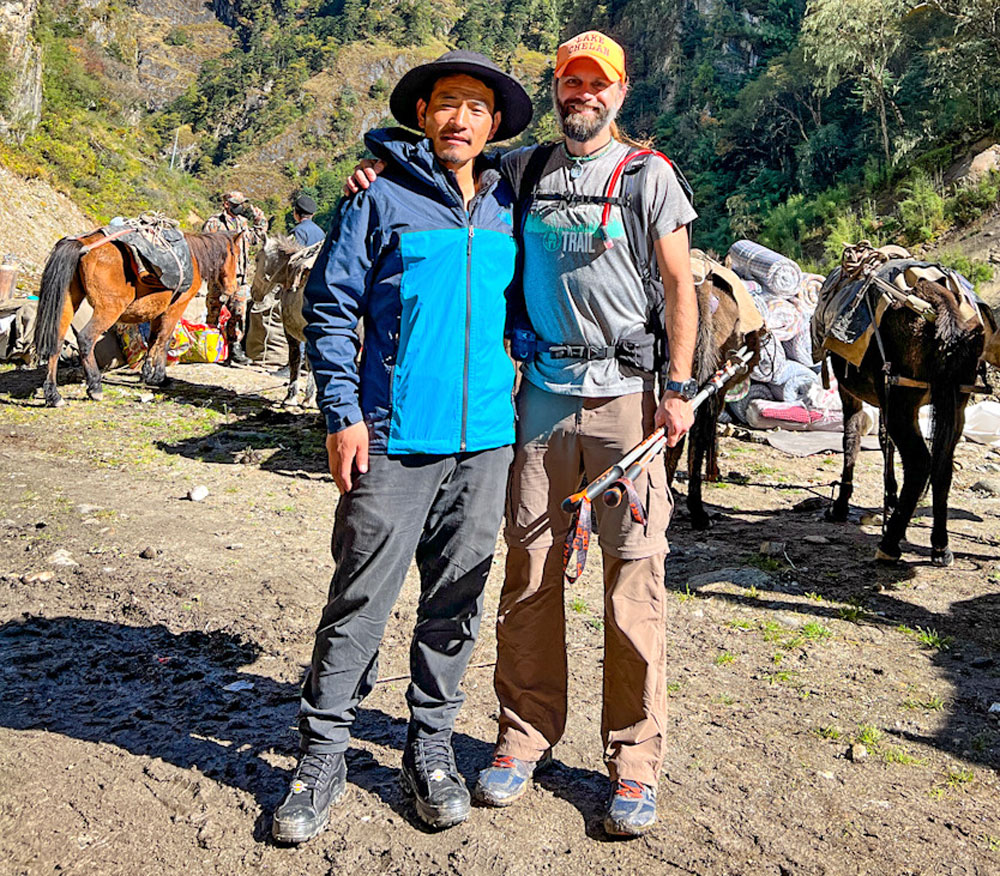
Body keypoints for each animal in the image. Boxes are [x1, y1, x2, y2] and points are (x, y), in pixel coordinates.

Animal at [35, 226, 242, 404]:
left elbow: (152, 340)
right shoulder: (175, 308)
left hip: (68, 303)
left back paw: (53, 395)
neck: (192, 258)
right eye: (237, 256)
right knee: (86, 339)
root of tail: (83, 245)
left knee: (56, 341)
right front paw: (159, 377)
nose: (233, 288)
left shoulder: (157, 312)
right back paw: (95, 387)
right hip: (109, 310)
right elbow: (164, 340)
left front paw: (147, 373)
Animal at [828, 280, 984, 568]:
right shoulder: (885, 398)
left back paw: (889, 545)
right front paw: (890, 498)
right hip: (956, 404)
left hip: (903, 403)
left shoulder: (850, 390)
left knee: (920, 462)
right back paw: (940, 546)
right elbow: (883, 440)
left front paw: (842, 504)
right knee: (942, 466)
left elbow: (851, 439)